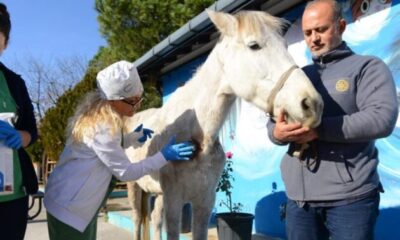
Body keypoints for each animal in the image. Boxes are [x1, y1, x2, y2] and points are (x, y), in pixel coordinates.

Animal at [123, 9, 324, 240]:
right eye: (253, 45)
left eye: (284, 44)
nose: (312, 104)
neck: (197, 135)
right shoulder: (174, 201)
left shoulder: (204, 202)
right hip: (135, 186)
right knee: (137, 220)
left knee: (155, 218)